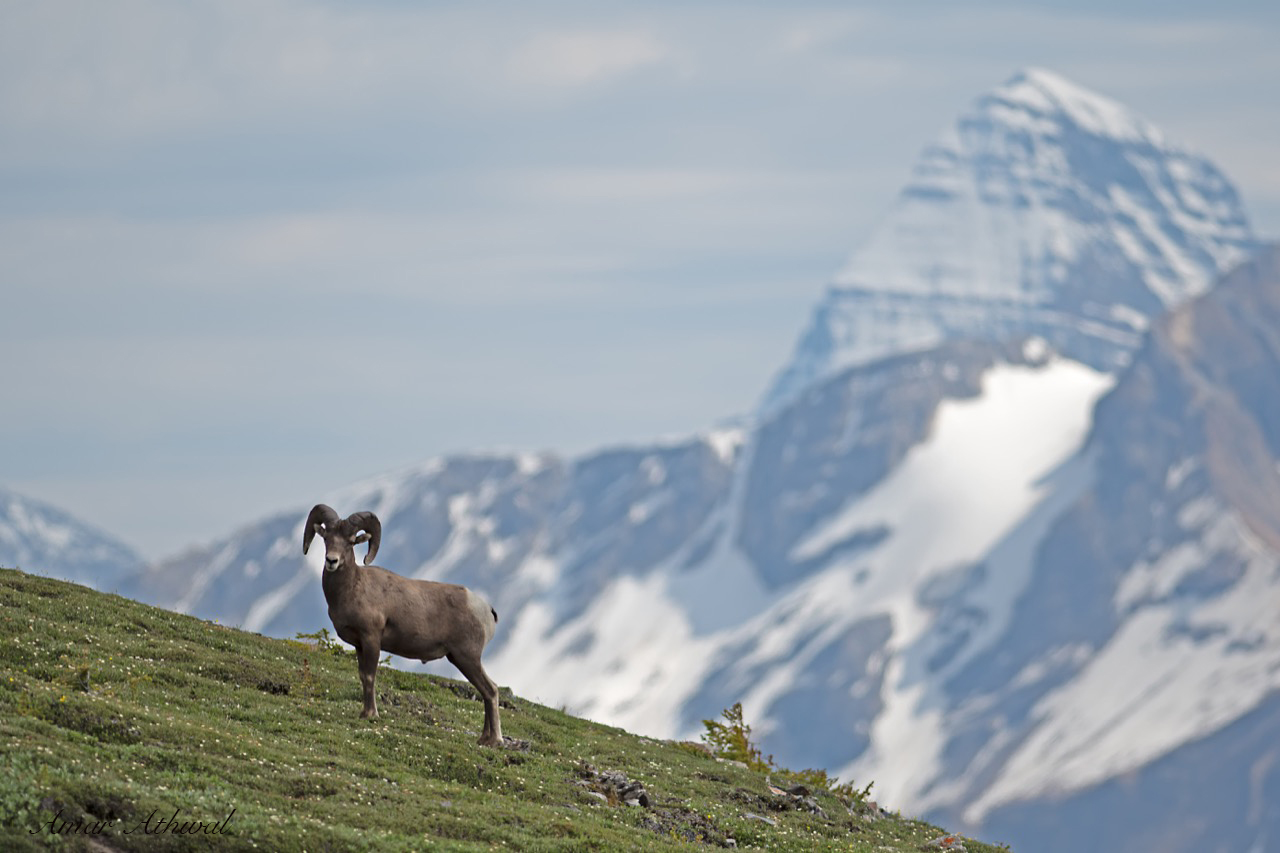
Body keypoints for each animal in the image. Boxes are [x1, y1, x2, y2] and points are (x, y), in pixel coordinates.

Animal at [302, 504, 504, 747]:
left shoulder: (371, 639)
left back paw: (495, 740)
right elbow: (362, 676)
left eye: (350, 541)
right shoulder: (359, 645)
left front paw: (371, 714)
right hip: (459, 659)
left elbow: (370, 676)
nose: (331, 561)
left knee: (491, 690)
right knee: (486, 691)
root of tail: (486, 609)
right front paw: (364, 713)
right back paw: (484, 739)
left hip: (468, 658)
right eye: (326, 538)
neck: (352, 589)